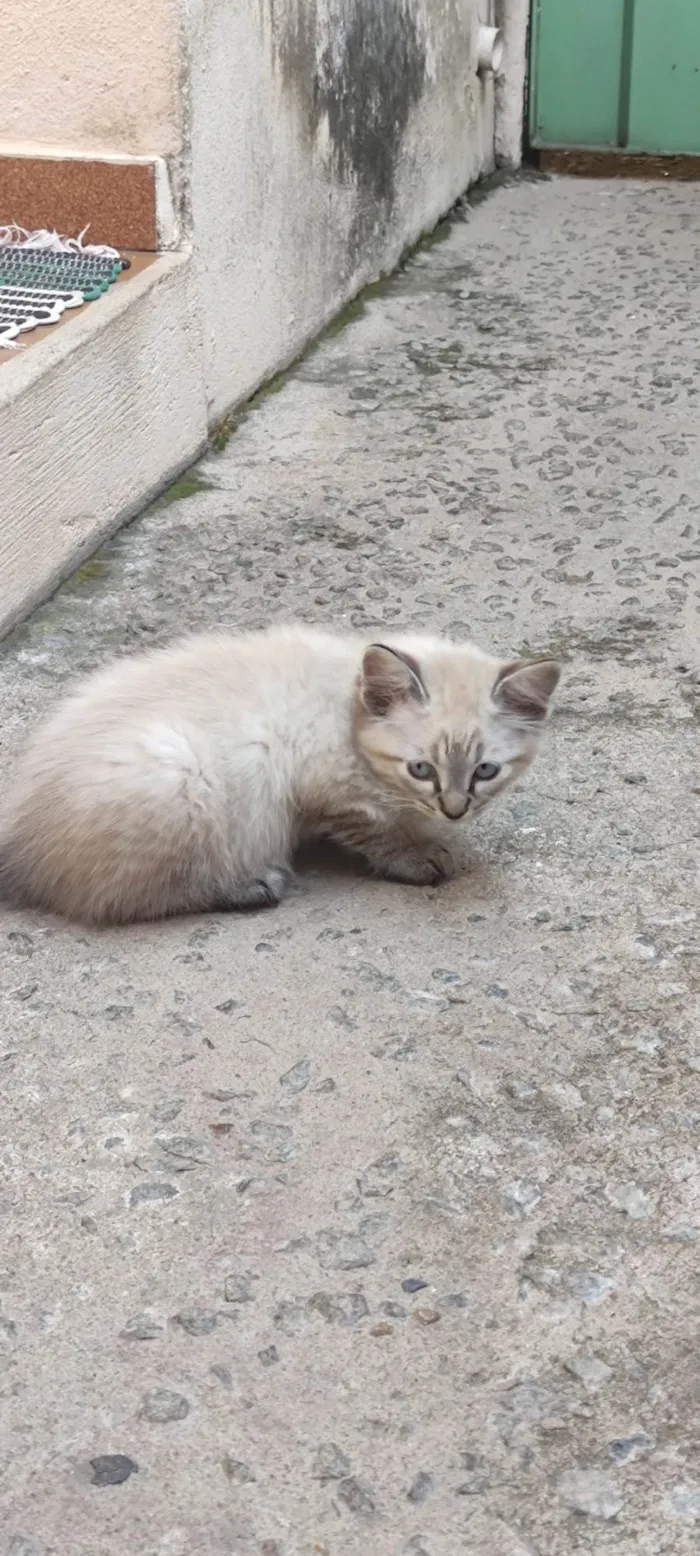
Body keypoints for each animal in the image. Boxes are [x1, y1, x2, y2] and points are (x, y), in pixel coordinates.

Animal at [0, 628, 560, 927]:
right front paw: (419, 855)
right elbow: (377, 830)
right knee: (129, 897)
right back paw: (250, 886)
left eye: (485, 770)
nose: (454, 809)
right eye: (421, 769)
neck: (347, 707)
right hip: (181, 774)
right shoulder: (326, 790)